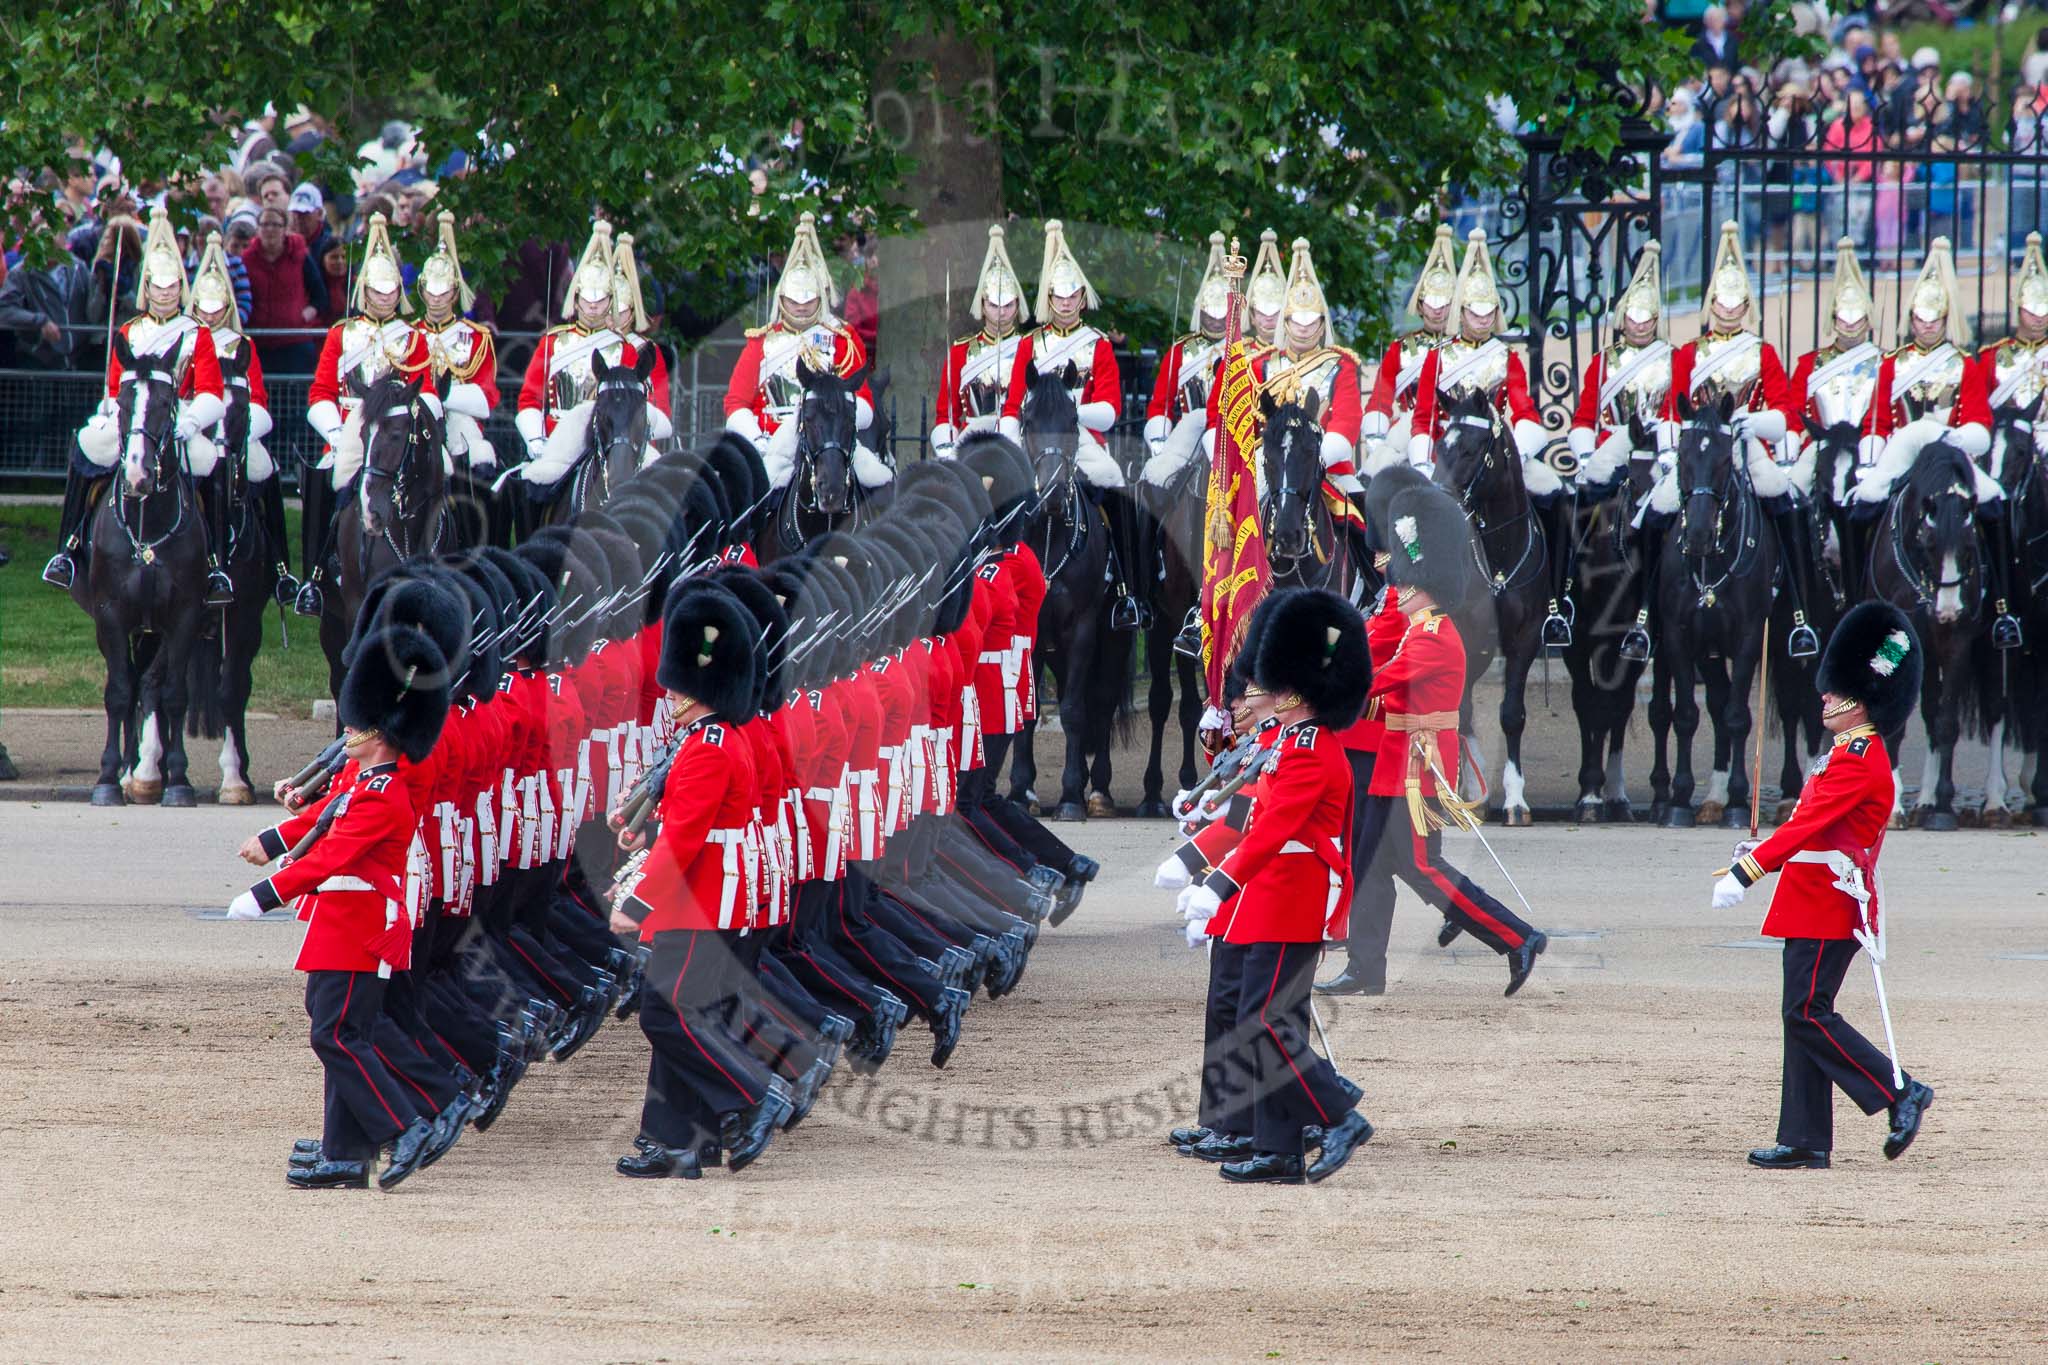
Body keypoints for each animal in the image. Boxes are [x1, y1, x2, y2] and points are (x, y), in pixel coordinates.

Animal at [74, 339, 209, 806]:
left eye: (167, 402)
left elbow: (173, 694)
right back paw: (132, 770)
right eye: (123, 403)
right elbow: (118, 692)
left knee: (150, 683)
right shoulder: (110, 615)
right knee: (132, 684)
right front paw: (107, 778)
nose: (137, 475)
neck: (147, 526)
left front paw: (179, 780)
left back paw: (148, 772)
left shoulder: (186, 615)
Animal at [1011, 358, 1130, 822]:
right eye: (1028, 420)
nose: (1051, 497)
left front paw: (1068, 797)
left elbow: (1077, 711)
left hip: (1112, 638)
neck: (1048, 534)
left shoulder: (1083, 627)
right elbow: (1028, 711)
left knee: (1100, 699)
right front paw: (1021, 792)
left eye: (1072, 421)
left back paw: (1096, 791)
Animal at [1646, 388, 1777, 826]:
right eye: (1683, 459)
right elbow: (1687, 715)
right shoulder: (1678, 637)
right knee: (1710, 703)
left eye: (1722, 461)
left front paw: (1739, 802)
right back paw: (1707, 797)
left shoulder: (1750, 638)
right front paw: (1679, 799)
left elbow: (1738, 717)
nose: (1700, 534)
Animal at [1875, 437, 1982, 826]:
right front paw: (1893, 805)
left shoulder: (1959, 643)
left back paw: (1926, 798)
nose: (1947, 611)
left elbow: (1946, 721)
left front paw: (1944, 804)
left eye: (1969, 548)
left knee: (1934, 714)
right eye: (1928, 545)